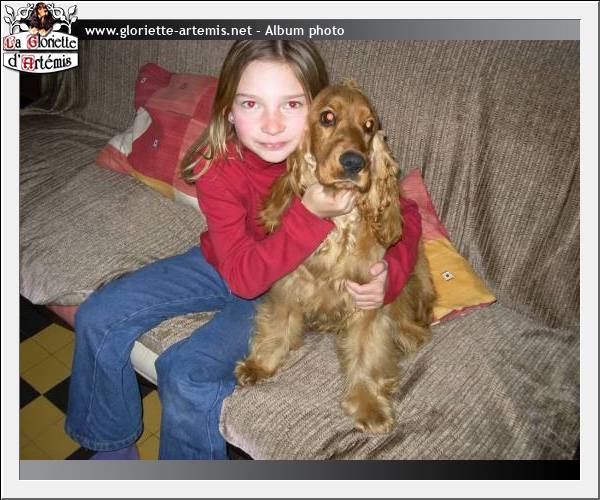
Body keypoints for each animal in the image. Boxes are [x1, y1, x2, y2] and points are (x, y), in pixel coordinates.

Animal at [235, 80, 436, 434]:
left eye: (369, 125)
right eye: (327, 117)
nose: (355, 162)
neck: (338, 227)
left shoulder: (368, 301)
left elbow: (366, 355)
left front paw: (369, 406)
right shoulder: (287, 285)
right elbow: (276, 328)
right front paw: (260, 364)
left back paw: (409, 333)